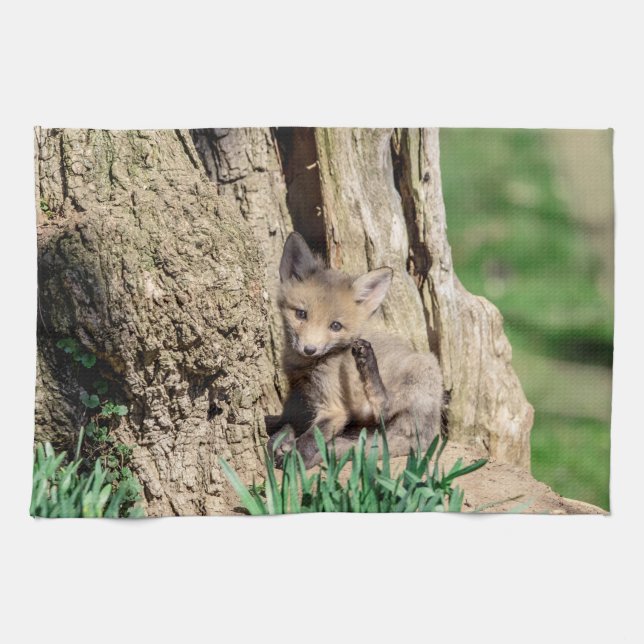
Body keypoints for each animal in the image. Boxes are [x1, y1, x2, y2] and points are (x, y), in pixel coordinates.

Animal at [267, 231, 444, 469]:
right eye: (301, 314)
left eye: (335, 326)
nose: (309, 349)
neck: (309, 367)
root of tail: (428, 435)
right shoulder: (299, 394)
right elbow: (285, 427)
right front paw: (280, 442)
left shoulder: (334, 408)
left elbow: (312, 438)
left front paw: (295, 459)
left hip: (424, 369)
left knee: (384, 406)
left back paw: (367, 360)